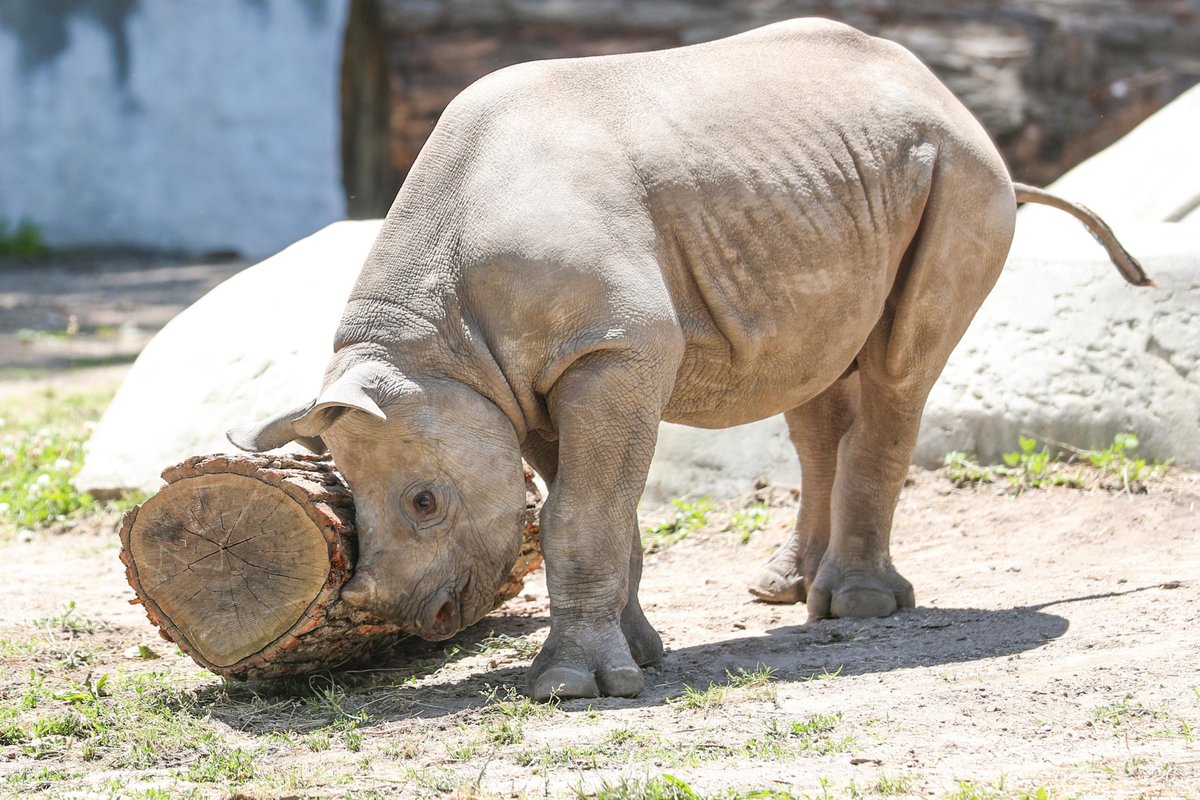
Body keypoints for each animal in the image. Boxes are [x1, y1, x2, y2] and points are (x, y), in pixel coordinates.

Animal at [230, 18, 1151, 700]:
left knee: (898, 372)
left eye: (425, 503)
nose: (417, 617)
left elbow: (579, 514)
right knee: (811, 376)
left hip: (961, 174)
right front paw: (641, 655)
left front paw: (572, 689)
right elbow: (603, 508)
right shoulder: (531, 380)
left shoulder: (612, 348)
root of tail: (948, 96)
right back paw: (785, 590)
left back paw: (857, 606)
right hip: (839, 185)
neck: (434, 346)